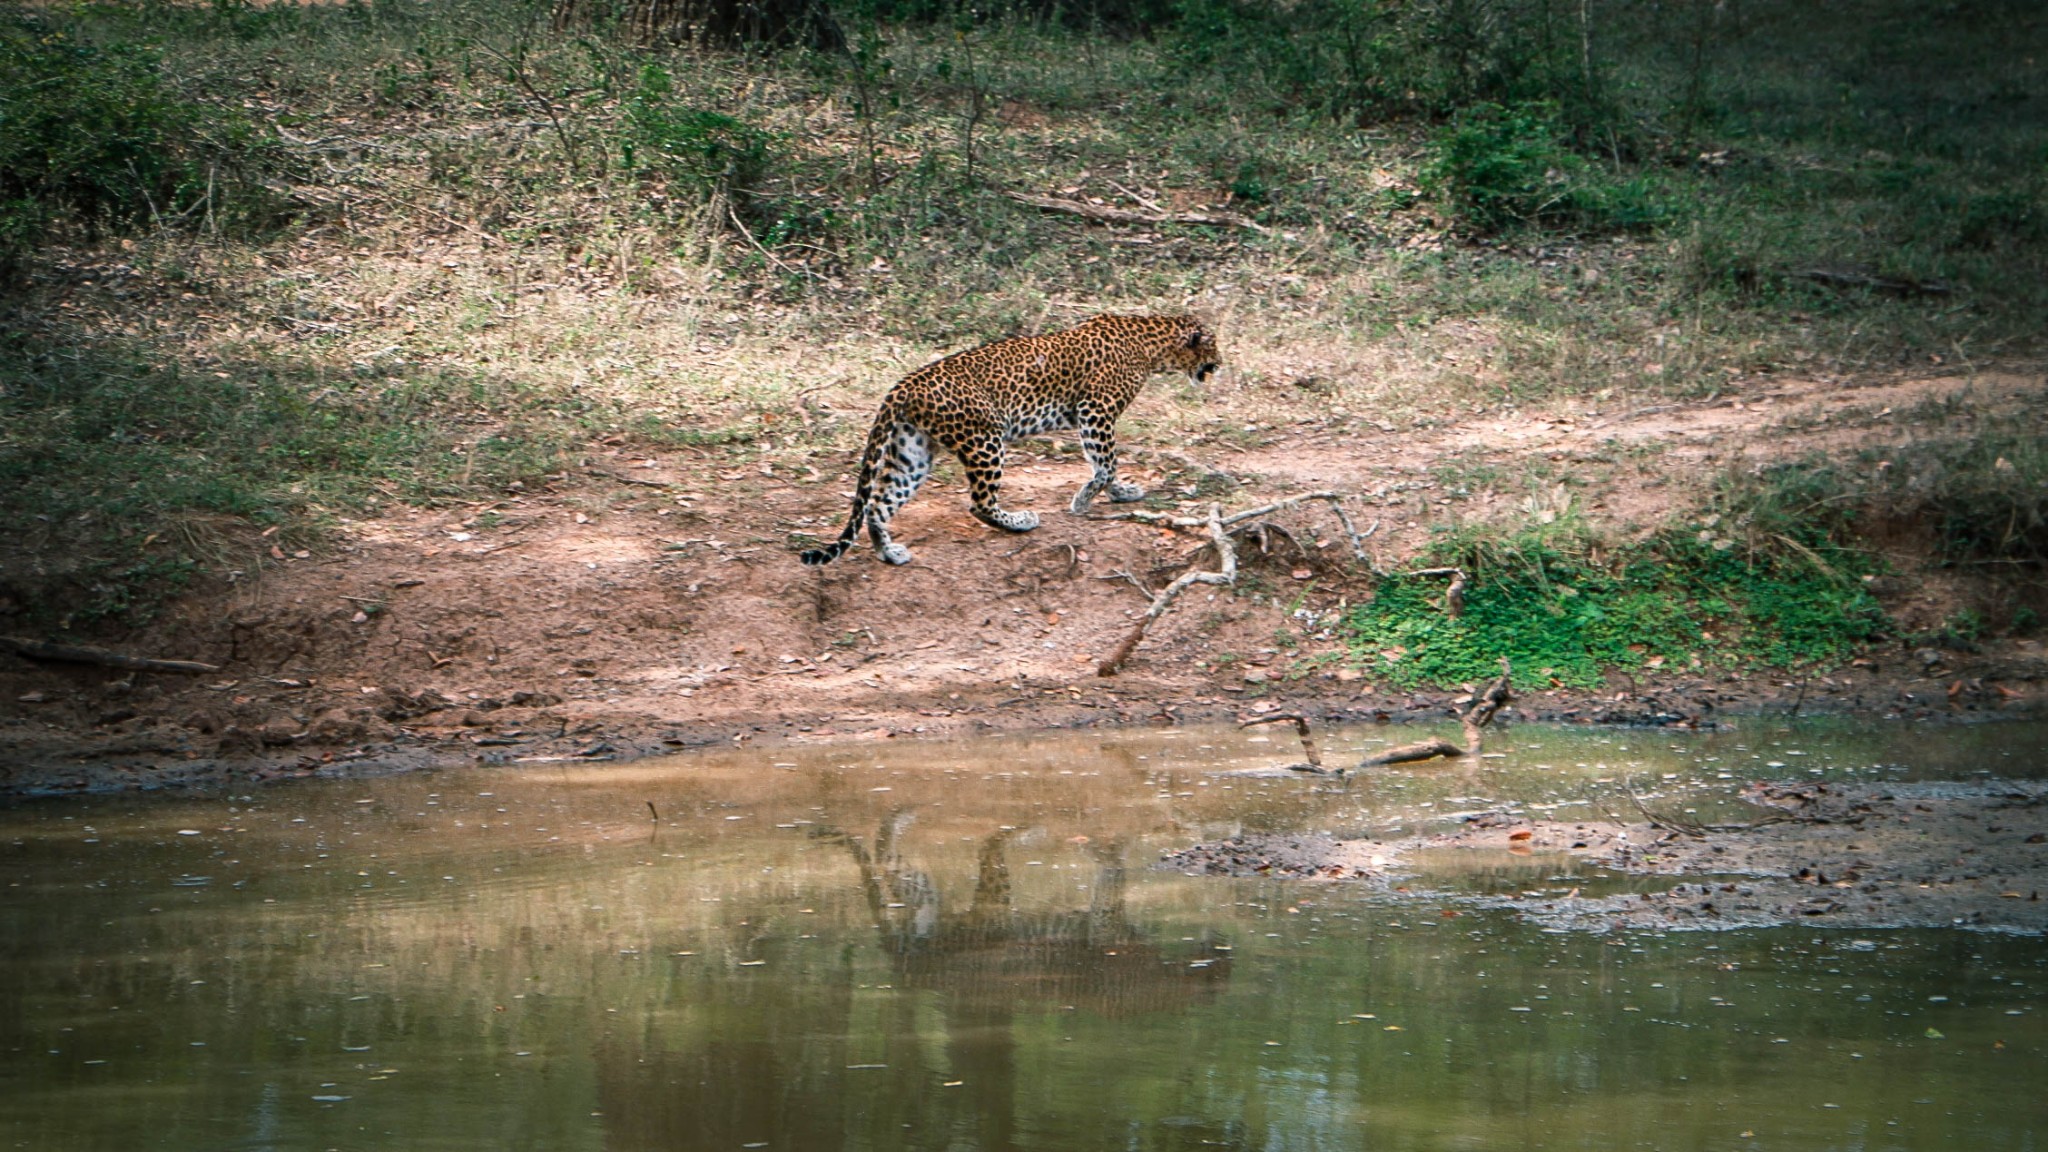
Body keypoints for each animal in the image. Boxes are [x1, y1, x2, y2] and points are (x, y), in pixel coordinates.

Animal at [794, 313, 1212, 565]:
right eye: (1214, 345)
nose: (1220, 364)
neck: (1152, 343)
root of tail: (903, 386)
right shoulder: (1096, 411)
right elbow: (1106, 462)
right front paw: (1084, 499)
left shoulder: (1095, 416)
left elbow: (1104, 463)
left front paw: (1120, 493)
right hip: (985, 440)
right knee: (979, 503)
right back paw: (1020, 521)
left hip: (913, 451)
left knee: (878, 504)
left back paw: (890, 552)